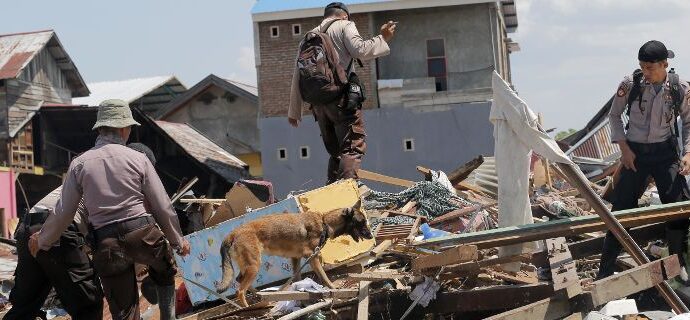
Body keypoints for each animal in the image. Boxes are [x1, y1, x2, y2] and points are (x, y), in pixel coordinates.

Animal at [215, 200, 370, 308]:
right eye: (361, 222)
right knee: (240, 290)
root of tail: (232, 234)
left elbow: (297, 278)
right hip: (254, 265)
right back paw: (247, 306)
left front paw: (299, 292)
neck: (324, 222)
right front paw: (332, 287)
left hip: (249, 265)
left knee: (239, 279)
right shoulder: (312, 256)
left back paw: (261, 295)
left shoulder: (296, 259)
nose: (370, 235)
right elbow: (324, 275)